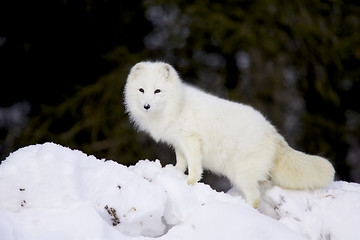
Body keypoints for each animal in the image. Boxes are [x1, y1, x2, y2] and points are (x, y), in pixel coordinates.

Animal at [124, 61, 334, 207]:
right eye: (141, 90)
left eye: (157, 91)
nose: (146, 106)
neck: (177, 106)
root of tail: (273, 133)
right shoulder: (178, 143)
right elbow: (181, 163)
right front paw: (173, 173)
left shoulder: (191, 139)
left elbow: (194, 167)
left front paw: (190, 183)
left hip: (240, 174)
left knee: (255, 199)